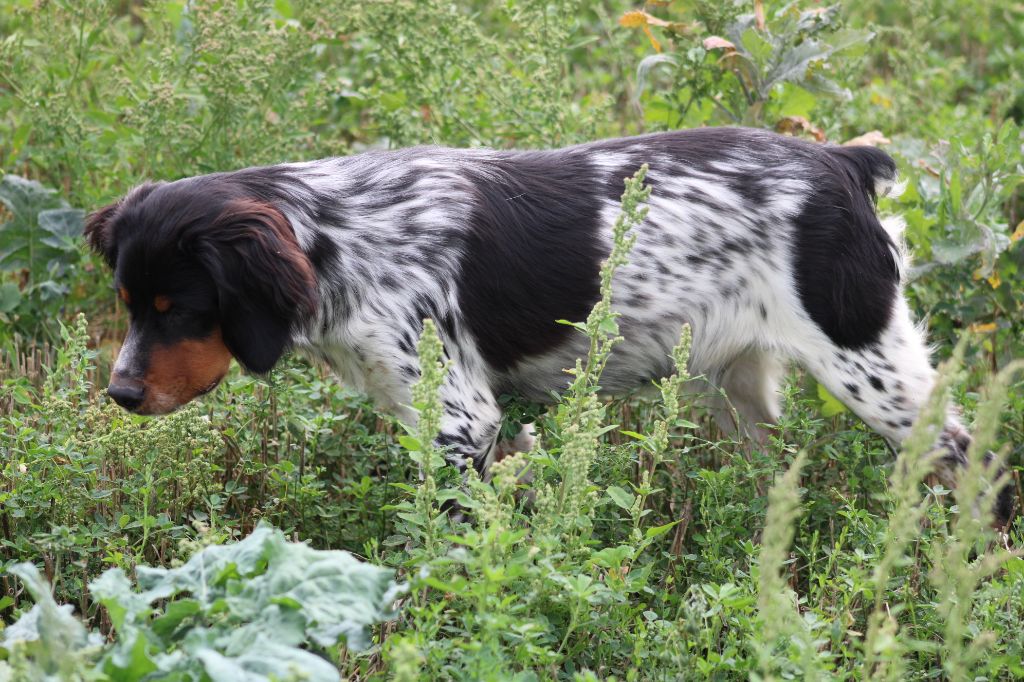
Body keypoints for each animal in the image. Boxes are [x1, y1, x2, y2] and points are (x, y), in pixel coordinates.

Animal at [86, 124, 1015, 522]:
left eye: (180, 309)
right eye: (129, 305)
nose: (120, 395)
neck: (336, 234)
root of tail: (842, 163)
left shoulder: (461, 419)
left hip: (873, 370)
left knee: (981, 467)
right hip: (734, 391)